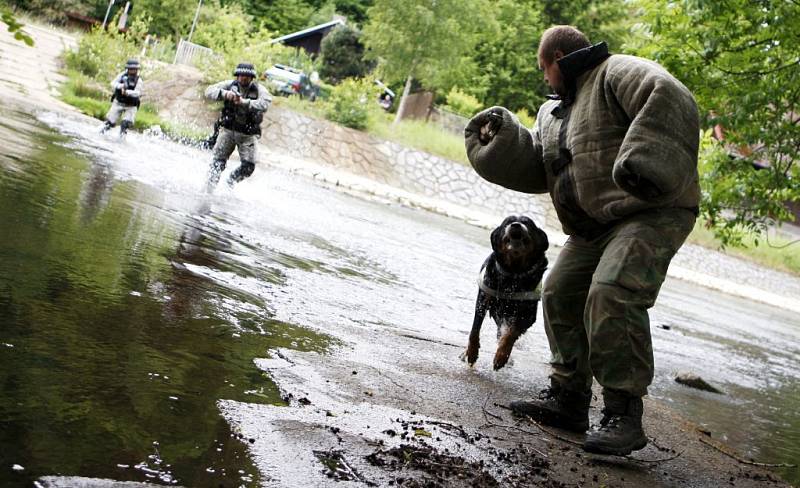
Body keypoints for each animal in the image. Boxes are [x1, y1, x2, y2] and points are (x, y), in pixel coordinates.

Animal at [462, 214, 552, 370]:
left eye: (527, 223)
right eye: (508, 222)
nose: (516, 225)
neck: (513, 272)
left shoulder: (527, 315)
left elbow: (511, 333)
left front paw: (502, 355)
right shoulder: (483, 299)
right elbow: (475, 328)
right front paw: (471, 352)